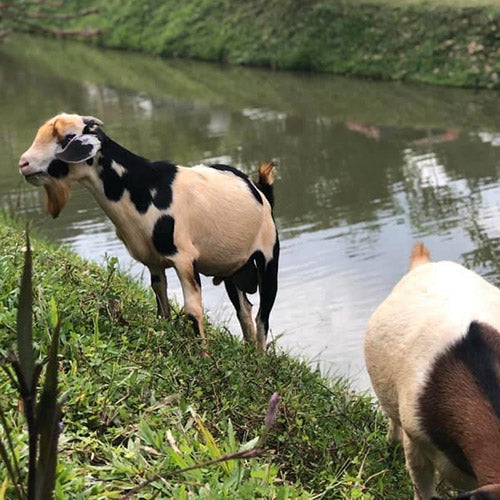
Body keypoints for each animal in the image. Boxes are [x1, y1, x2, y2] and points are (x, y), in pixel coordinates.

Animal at [19, 112, 280, 352]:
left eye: (68, 138)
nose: (23, 163)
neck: (143, 188)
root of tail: (262, 190)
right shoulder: (152, 260)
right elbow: (161, 304)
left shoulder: (185, 259)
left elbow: (192, 311)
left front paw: (203, 357)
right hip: (232, 268)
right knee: (245, 310)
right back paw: (250, 354)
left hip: (268, 256)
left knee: (262, 316)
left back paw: (259, 359)